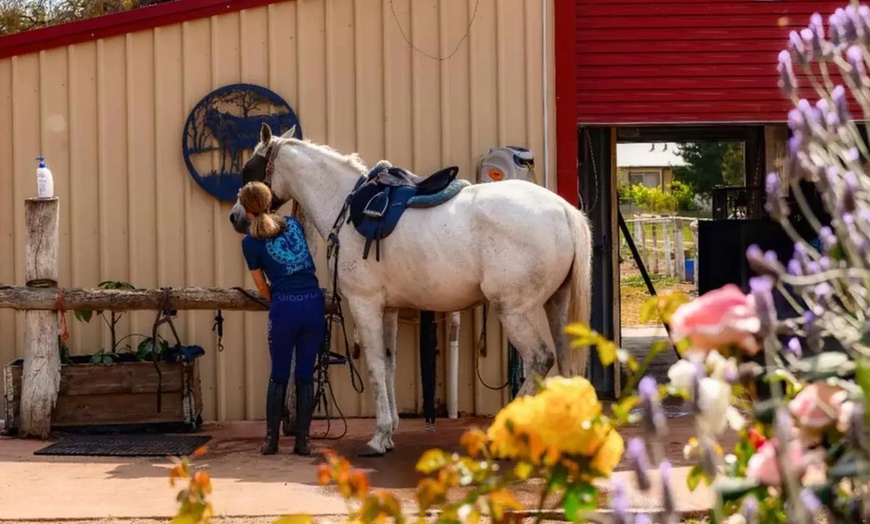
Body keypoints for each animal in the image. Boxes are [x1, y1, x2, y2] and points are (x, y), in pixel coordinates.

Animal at [228, 123, 593, 457]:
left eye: (249, 170)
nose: (236, 217)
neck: (345, 208)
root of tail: (564, 210)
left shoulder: (364, 304)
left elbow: (375, 365)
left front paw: (377, 438)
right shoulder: (388, 308)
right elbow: (389, 364)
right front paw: (389, 433)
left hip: (514, 309)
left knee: (540, 359)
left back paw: (498, 434)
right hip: (556, 305)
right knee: (565, 361)